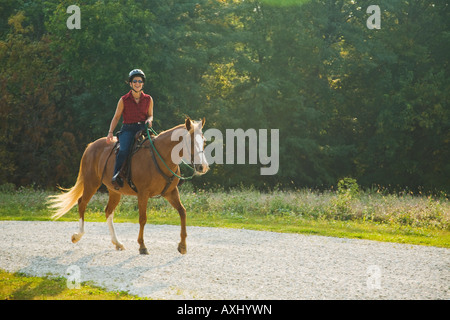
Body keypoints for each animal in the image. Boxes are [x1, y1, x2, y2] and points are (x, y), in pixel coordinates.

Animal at [47, 117, 209, 255]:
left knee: (108, 211)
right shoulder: (143, 194)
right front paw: (142, 246)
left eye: (204, 141)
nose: (203, 167)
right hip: (91, 183)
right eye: (190, 142)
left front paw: (182, 246)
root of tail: (91, 146)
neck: (159, 157)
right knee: (82, 203)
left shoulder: (171, 192)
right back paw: (77, 236)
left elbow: (182, 212)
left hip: (114, 191)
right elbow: (143, 218)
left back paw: (117, 243)